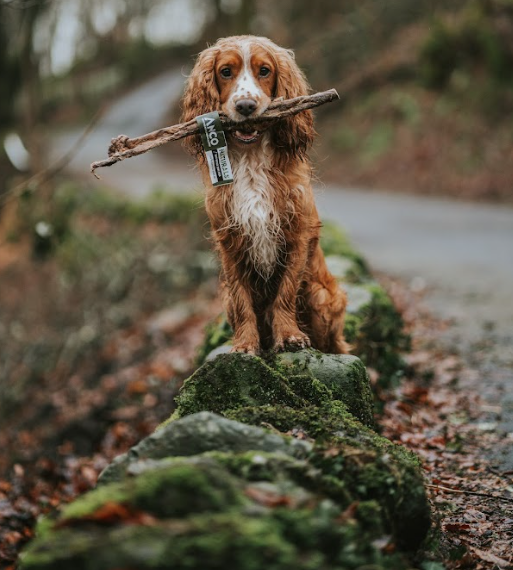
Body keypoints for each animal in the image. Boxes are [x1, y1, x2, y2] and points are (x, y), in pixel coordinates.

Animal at [180, 35, 348, 352]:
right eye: (225, 72)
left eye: (265, 71)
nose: (246, 106)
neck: (251, 159)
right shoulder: (230, 239)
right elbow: (243, 298)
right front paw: (246, 343)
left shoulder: (296, 233)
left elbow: (286, 291)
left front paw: (290, 335)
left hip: (323, 299)